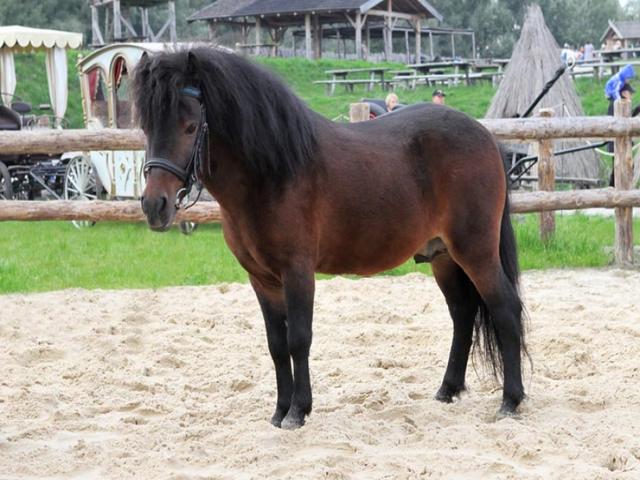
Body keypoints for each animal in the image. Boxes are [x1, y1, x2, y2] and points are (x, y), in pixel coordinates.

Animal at [133, 47, 527, 430]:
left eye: (190, 127)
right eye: (146, 127)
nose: (155, 205)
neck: (273, 173)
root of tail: (486, 136)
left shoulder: (297, 271)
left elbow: (298, 339)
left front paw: (298, 411)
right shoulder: (261, 279)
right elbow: (276, 345)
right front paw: (279, 410)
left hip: (476, 252)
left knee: (505, 309)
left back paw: (510, 401)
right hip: (443, 257)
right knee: (462, 315)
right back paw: (447, 390)